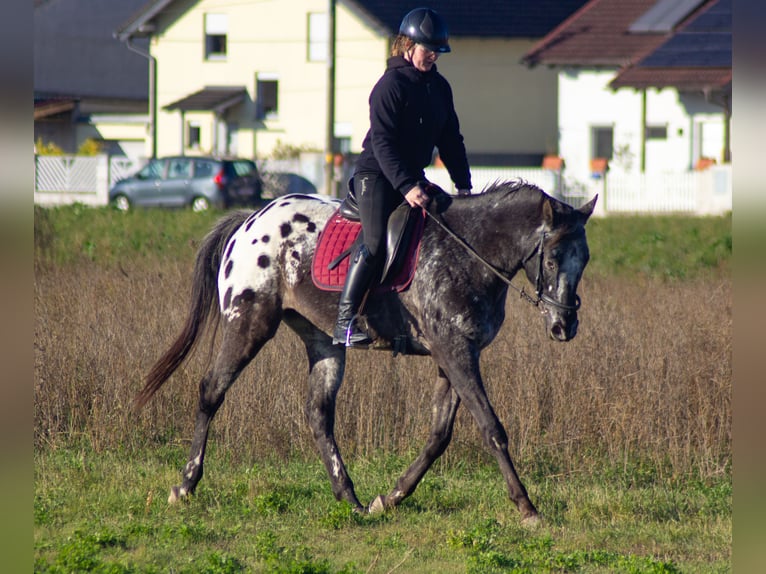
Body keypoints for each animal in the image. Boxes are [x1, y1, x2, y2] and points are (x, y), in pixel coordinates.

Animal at [135, 181, 596, 528]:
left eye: (585, 258)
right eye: (553, 258)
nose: (564, 326)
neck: (469, 252)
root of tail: (250, 221)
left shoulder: (456, 355)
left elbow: (438, 435)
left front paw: (389, 498)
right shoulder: (454, 352)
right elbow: (491, 428)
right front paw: (527, 508)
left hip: (323, 341)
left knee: (318, 415)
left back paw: (351, 499)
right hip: (249, 321)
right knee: (212, 391)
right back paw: (185, 485)